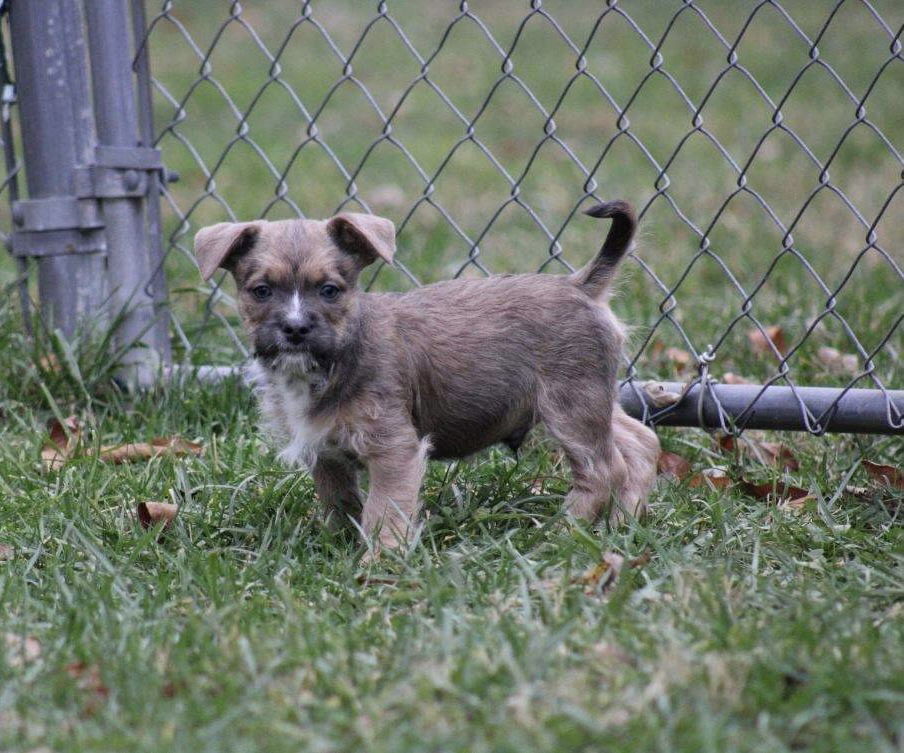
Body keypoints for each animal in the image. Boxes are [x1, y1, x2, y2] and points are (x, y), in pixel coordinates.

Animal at [196, 203, 656, 556]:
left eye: (329, 290)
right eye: (261, 291)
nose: (295, 329)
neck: (334, 361)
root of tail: (581, 285)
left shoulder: (394, 450)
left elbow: (384, 511)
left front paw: (378, 563)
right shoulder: (325, 453)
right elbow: (340, 502)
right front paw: (339, 544)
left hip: (570, 406)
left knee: (602, 470)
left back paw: (562, 534)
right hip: (594, 402)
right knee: (640, 443)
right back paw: (621, 523)